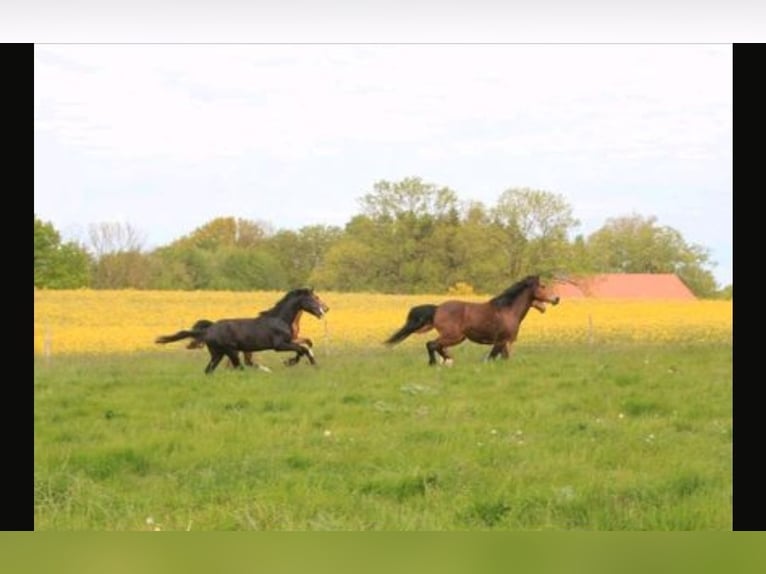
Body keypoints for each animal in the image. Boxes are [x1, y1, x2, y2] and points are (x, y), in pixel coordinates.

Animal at [155, 288, 328, 374]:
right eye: (313, 298)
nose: (324, 309)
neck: (280, 319)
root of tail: (209, 329)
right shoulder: (279, 345)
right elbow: (301, 349)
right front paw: (292, 362)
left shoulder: (290, 340)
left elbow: (306, 344)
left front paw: (310, 361)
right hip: (231, 351)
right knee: (239, 367)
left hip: (218, 354)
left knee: (209, 370)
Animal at [384, 275, 560, 366]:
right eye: (543, 286)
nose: (556, 299)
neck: (507, 310)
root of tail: (437, 309)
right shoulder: (501, 341)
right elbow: (491, 358)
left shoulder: (506, 343)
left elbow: (503, 359)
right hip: (454, 336)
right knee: (432, 344)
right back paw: (441, 361)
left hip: (455, 337)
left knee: (435, 345)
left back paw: (446, 360)